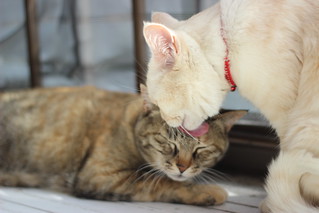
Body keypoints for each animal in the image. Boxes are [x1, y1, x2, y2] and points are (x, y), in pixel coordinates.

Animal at [0, 85, 246, 206]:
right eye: (168, 142)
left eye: (200, 149)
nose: (183, 167)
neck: (130, 126)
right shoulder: (102, 175)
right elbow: (159, 181)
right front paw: (206, 191)